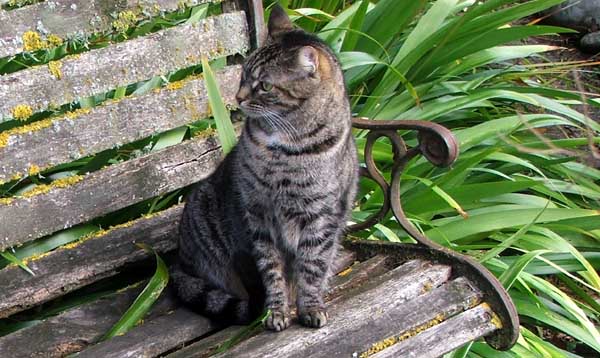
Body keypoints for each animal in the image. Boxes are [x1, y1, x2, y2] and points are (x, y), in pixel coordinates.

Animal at [170, 4, 356, 332]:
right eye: (243, 75)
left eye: (265, 86)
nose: (239, 97)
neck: (284, 150)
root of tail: (178, 261)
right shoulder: (258, 215)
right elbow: (272, 272)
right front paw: (277, 312)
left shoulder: (321, 216)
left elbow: (312, 267)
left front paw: (310, 307)